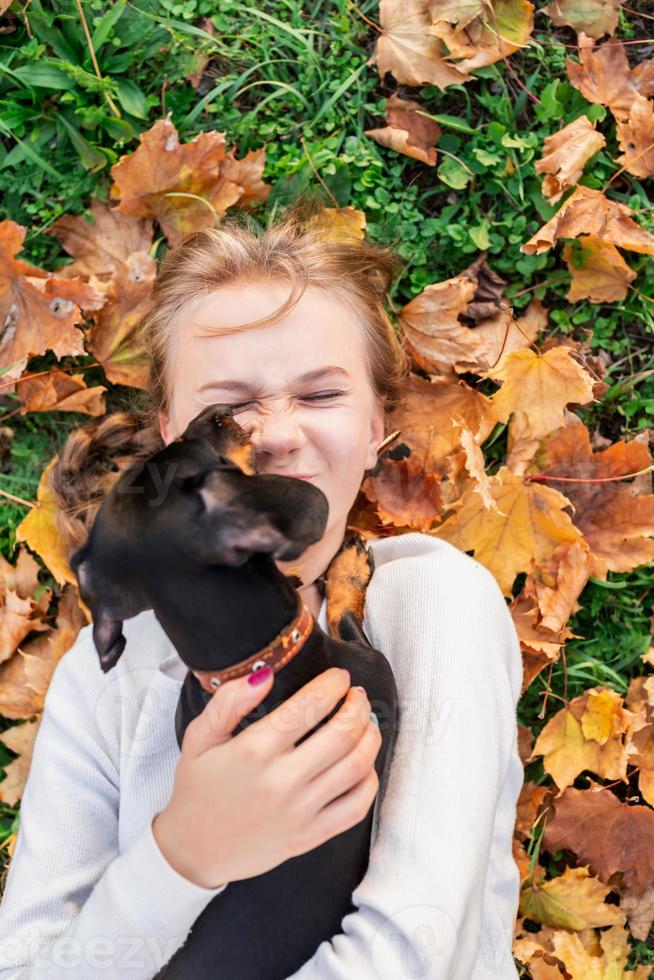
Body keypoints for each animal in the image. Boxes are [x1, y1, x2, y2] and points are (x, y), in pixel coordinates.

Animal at [70, 402, 400, 976]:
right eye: (194, 449)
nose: (217, 412)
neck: (252, 665)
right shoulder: (375, 679)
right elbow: (344, 614)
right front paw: (348, 567)